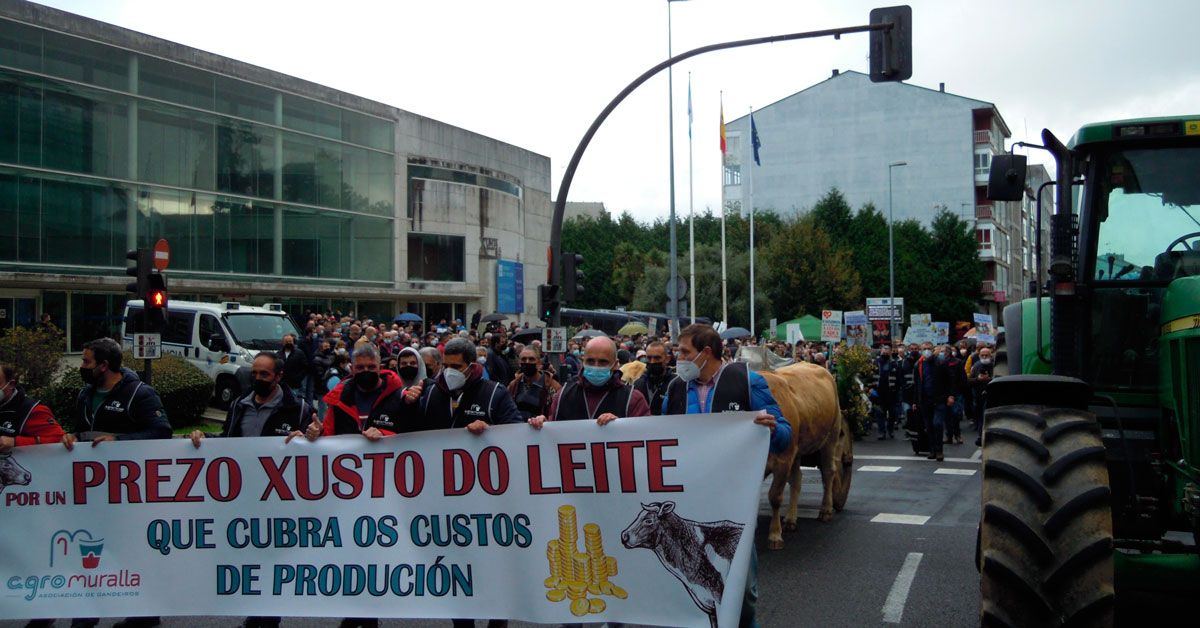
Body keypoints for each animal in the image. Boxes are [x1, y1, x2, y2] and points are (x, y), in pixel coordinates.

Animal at [753, 360, 849, 547]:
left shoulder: (783, 460)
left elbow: (775, 496)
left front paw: (774, 535)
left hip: (831, 436)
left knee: (829, 472)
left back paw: (826, 510)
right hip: (797, 452)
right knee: (797, 479)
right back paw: (791, 519)